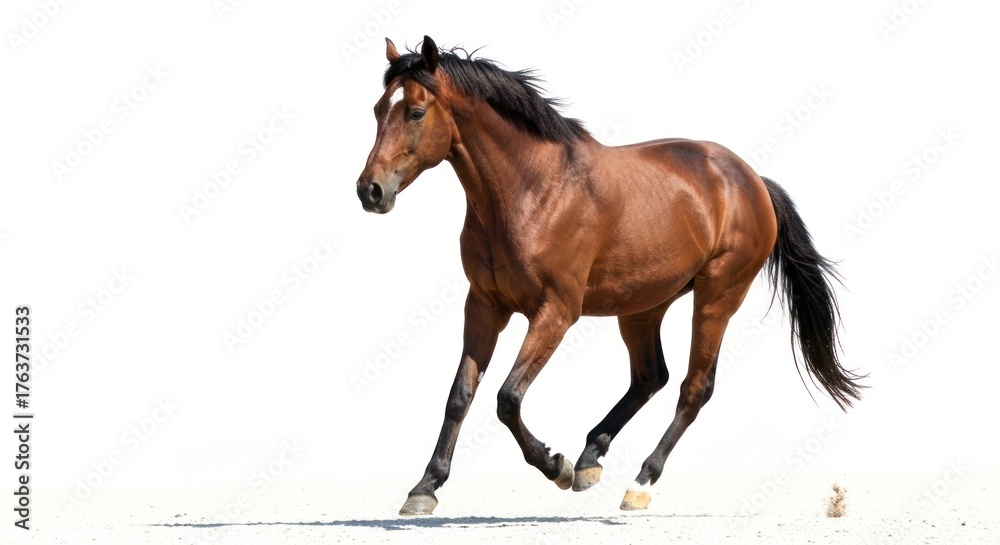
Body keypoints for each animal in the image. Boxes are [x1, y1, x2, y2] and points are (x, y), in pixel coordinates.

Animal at [355, 36, 864, 515]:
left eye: (416, 111)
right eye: (379, 109)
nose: (370, 191)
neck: (532, 190)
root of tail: (753, 180)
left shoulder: (556, 312)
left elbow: (507, 397)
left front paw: (554, 465)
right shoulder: (484, 305)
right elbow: (460, 395)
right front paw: (425, 488)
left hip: (717, 298)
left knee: (693, 389)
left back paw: (638, 483)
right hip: (642, 307)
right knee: (650, 378)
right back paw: (590, 458)